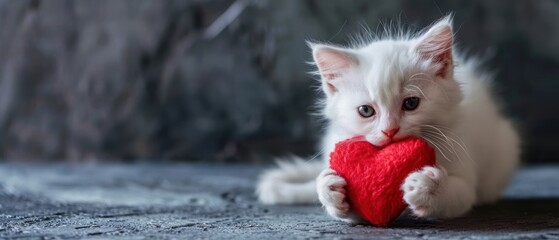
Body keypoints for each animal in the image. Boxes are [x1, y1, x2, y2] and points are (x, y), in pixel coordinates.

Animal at [258, 16, 520, 223]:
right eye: (365, 111)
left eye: (411, 104)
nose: (390, 130)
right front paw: (330, 190)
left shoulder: (464, 166)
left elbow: (460, 193)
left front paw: (430, 188)